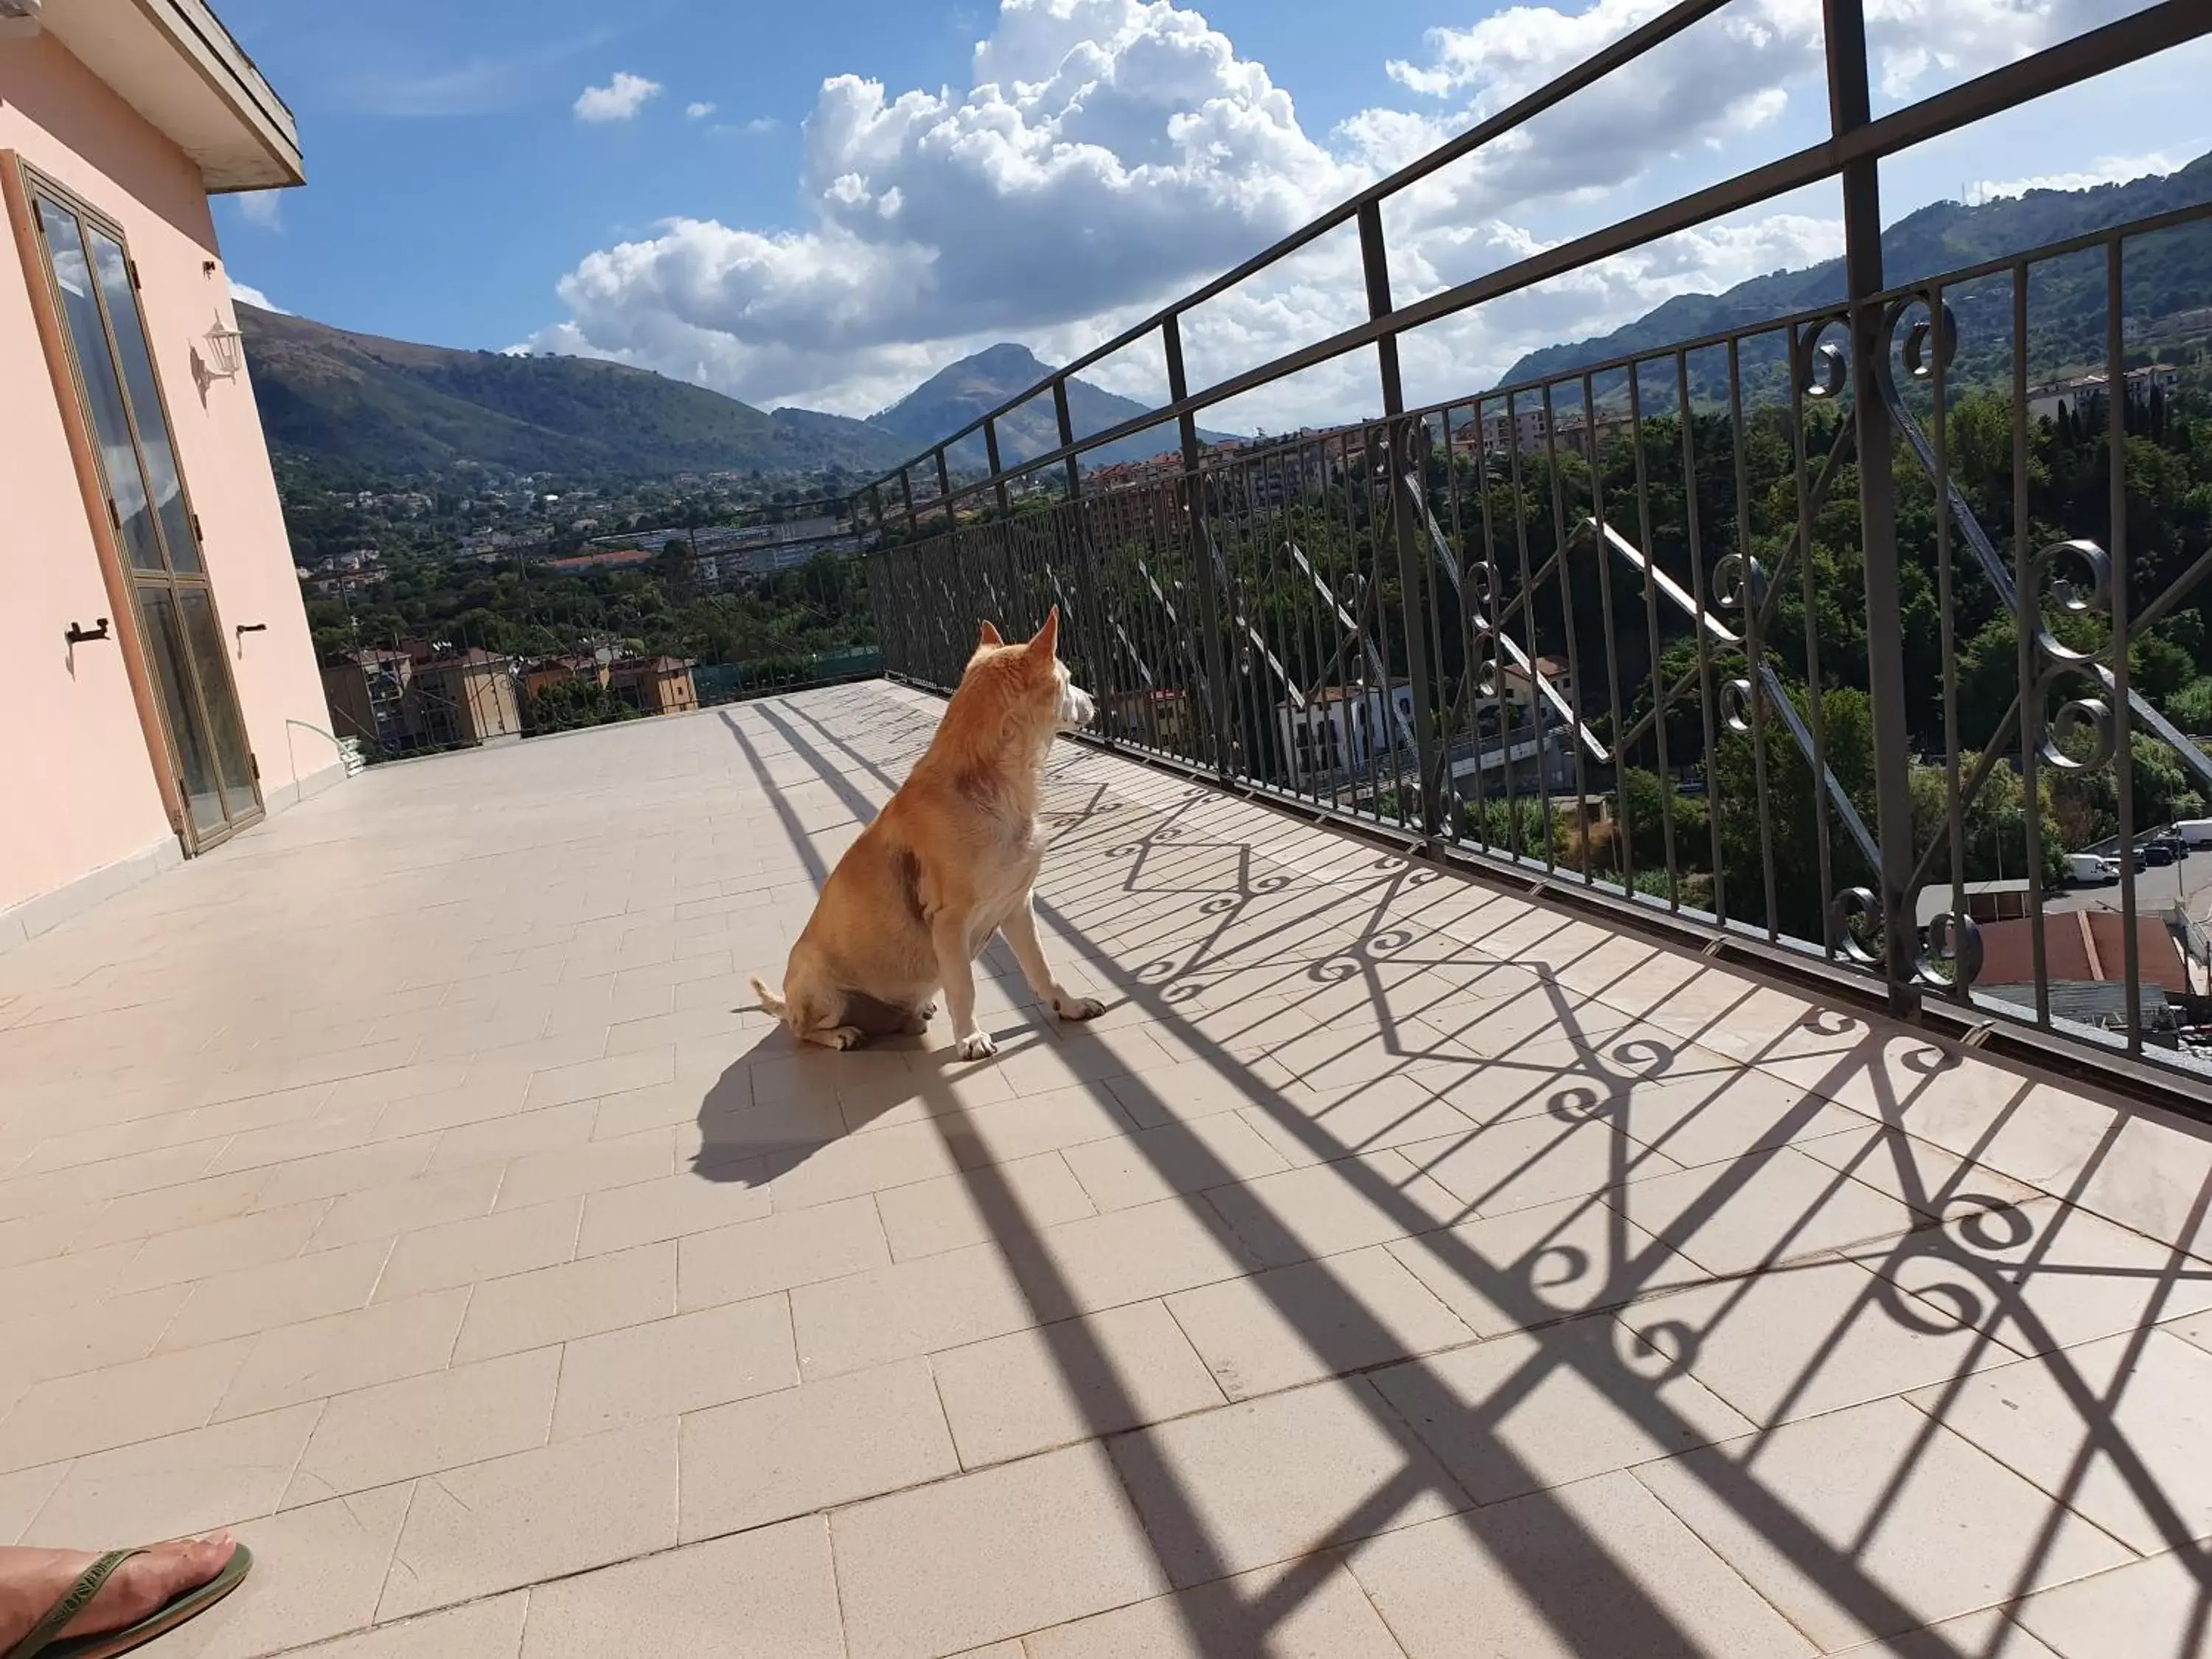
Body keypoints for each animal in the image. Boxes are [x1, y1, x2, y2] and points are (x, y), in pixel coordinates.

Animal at [752, 615, 1106, 1066]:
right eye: (1069, 678)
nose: (1094, 698)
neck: (991, 784)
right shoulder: (951, 921)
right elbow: (964, 986)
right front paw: (970, 1038)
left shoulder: (1017, 906)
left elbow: (1041, 969)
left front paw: (1071, 1006)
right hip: (824, 993)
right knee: (803, 1031)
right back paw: (842, 1034)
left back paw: (917, 1011)